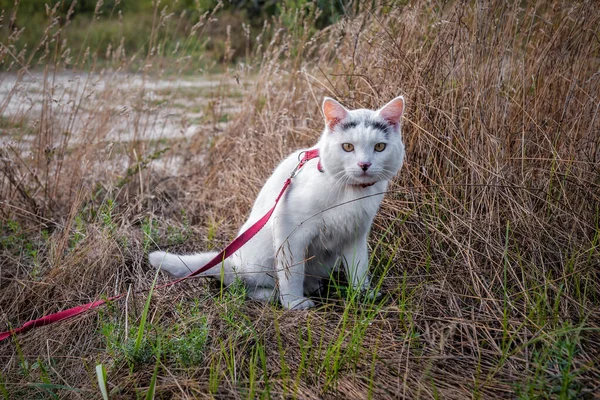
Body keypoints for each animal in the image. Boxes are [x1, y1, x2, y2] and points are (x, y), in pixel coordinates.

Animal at [149, 96, 408, 310]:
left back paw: (312, 287)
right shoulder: (290, 231)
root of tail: (232, 261)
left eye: (379, 147)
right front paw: (293, 303)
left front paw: (363, 294)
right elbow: (292, 271)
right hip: (260, 257)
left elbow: (359, 268)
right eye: (347, 147)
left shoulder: (356, 235)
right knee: (242, 285)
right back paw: (273, 295)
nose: (364, 165)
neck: (349, 192)